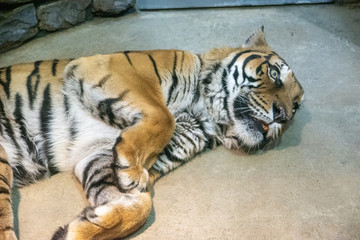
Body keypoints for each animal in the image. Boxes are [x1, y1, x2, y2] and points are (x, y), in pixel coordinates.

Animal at [0, 26, 304, 240]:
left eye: (297, 106)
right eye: (274, 73)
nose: (283, 116)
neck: (205, 116)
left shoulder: (94, 152)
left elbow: (139, 204)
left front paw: (83, 226)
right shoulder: (105, 68)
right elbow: (163, 116)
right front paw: (132, 171)